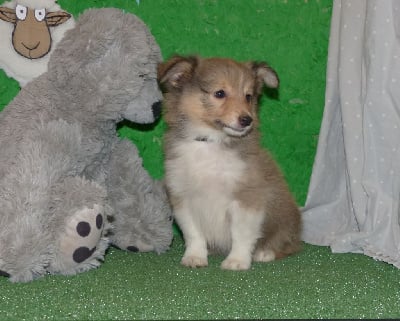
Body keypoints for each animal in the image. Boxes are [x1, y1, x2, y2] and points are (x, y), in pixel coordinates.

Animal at [156, 55, 300, 270]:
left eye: (248, 96)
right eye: (220, 93)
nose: (247, 120)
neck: (210, 142)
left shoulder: (246, 197)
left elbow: (241, 234)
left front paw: (237, 261)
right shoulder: (182, 197)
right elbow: (193, 233)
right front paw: (195, 257)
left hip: (284, 220)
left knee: (288, 243)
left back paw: (265, 252)